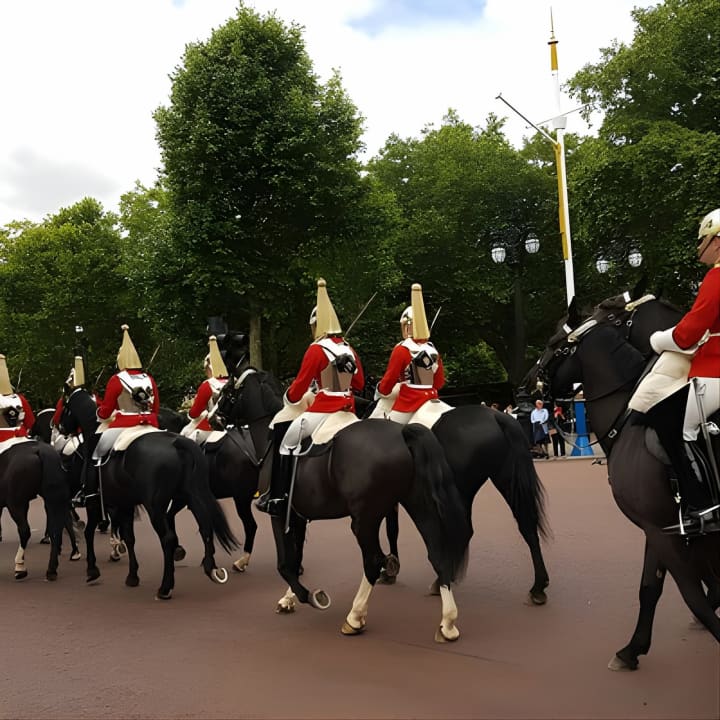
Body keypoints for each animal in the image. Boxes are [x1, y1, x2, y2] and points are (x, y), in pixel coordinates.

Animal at [59, 388, 239, 596]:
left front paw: (92, 570)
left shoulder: (94, 500)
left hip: (155, 506)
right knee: (205, 526)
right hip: (190, 496)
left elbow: (90, 532)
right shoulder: (125, 503)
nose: (60, 428)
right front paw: (132, 576)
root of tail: (177, 442)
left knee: (167, 538)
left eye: (65, 407)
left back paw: (165, 586)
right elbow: (129, 537)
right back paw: (211, 569)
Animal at [214, 368, 472, 640]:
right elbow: (296, 558)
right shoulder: (297, 516)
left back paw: (355, 617)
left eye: (227, 392)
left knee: (373, 561)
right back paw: (448, 623)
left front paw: (310, 596)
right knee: (437, 553)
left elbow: (285, 564)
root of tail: (402, 433)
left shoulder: (279, 514)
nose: (214, 418)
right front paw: (289, 599)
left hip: (364, 520)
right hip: (417, 505)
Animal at [524, 292, 720, 668]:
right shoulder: (661, 529)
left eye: (555, 342)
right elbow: (651, 588)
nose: (525, 388)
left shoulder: (662, 530)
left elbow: (695, 598)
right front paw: (633, 649)